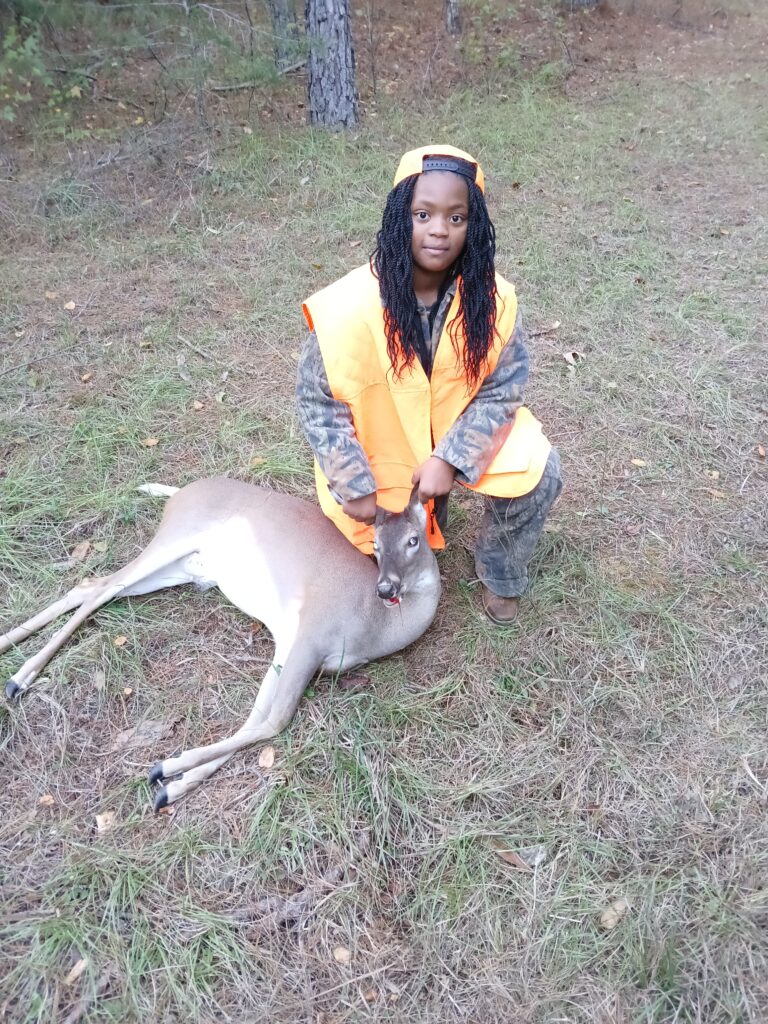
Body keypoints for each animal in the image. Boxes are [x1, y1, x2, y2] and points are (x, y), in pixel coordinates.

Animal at [1, 479, 440, 809]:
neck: (374, 624)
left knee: (92, 586)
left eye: (414, 540)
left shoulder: (288, 646)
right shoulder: (311, 634)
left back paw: (12, 655)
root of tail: (181, 491)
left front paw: (173, 785)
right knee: (101, 587)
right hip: (176, 537)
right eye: (375, 546)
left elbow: (256, 718)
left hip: (183, 568)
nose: (387, 588)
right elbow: (275, 720)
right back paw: (19, 677)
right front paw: (165, 767)